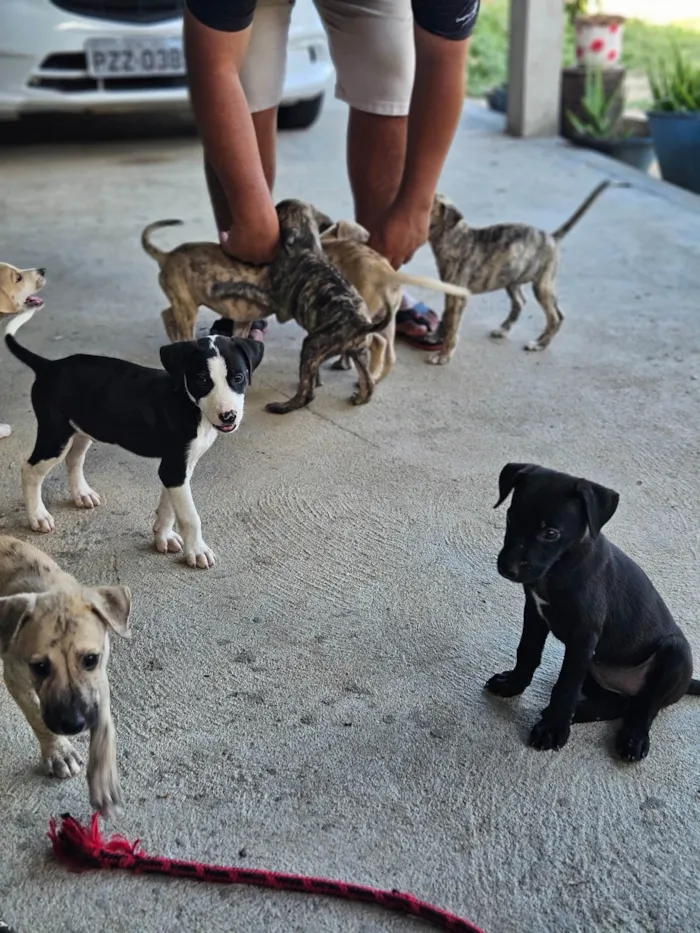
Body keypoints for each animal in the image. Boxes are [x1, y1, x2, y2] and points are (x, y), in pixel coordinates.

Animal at [0, 532, 131, 816]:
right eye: (39, 667)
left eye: (90, 660)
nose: (73, 725)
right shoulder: (16, 677)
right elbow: (37, 717)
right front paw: (59, 752)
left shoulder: (98, 677)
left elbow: (104, 727)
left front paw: (103, 781)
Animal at [6, 310, 262, 568]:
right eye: (202, 380)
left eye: (238, 377)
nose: (228, 416)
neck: (190, 405)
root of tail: (49, 365)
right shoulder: (174, 468)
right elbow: (190, 515)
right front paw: (197, 550)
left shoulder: (179, 467)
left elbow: (169, 507)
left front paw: (163, 536)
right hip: (55, 435)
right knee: (30, 470)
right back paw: (38, 516)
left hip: (83, 428)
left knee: (74, 459)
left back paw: (82, 494)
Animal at [211, 198, 392, 414]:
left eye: (278, 210)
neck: (306, 245)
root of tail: (362, 324)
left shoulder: (276, 303)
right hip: (359, 352)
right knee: (368, 382)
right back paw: (360, 397)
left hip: (312, 345)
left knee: (307, 395)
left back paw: (282, 406)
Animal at [426, 178, 628, 364]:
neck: (455, 238)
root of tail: (551, 237)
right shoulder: (450, 292)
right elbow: (446, 317)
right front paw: (436, 337)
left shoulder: (457, 296)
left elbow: (452, 325)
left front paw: (443, 355)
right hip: (512, 279)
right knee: (521, 302)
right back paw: (505, 330)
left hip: (542, 285)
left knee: (556, 317)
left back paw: (539, 344)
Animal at [486, 462, 700, 760]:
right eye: (510, 517)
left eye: (550, 533)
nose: (508, 568)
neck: (561, 566)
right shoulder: (535, 613)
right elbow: (527, 651)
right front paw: (513, 685)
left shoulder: (583, 638)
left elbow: (565, 685)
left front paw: (553, 729)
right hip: (596, 673)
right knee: (620, 705)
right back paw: (580, 711)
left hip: (675, 653)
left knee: (645, 706)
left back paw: (633, 739)